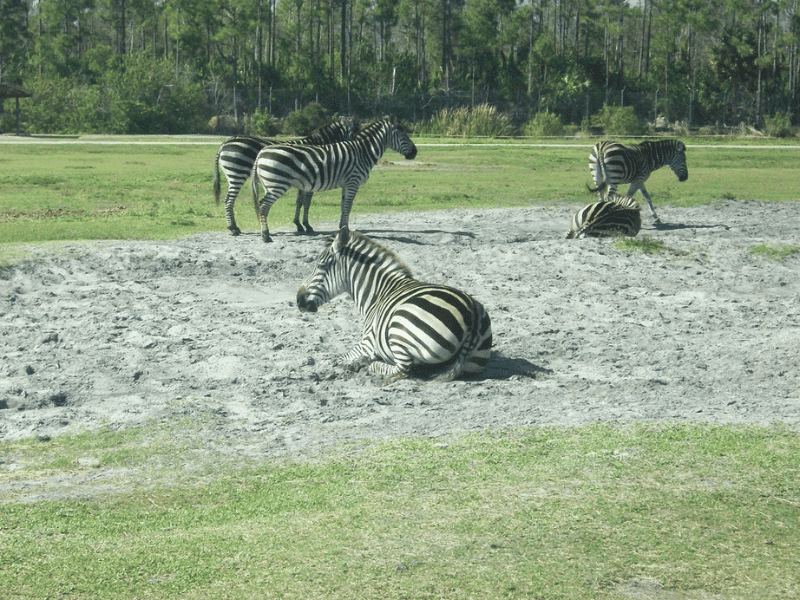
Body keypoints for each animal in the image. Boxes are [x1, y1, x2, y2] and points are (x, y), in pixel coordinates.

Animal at [211, 116, 358, 238]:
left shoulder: (303, 182)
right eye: (355, 132)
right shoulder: (311, 179)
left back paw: (234, 227)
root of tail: (226, 142)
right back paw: (233, 228)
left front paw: (298, 224)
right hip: (237, 173)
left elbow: (299, 202)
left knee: (229, 200)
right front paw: (307, 225)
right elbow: (307, 202)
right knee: (228, 200)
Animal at [252, 115, 418, 241]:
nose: (415, 153)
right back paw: (265, 236)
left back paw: (264, 232)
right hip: (277, 184)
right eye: (403, 134)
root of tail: (261, 152)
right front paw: (346, 229)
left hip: (269, 185)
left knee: (261, 206)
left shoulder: (346, 184)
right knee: (263, 206)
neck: (363, 152)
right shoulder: (353, 182)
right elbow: (348, 206)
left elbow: (343, 205)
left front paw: (342, 228)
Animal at [296, 227, 490, 382]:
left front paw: (356, 364)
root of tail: (473, 313)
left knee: (403, 370)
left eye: (321, 266)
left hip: (399, 329)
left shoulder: (367, 342)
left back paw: (371, 366)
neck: (378, 293)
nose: (298, 300)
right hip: (473, 362)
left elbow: (341, 360)